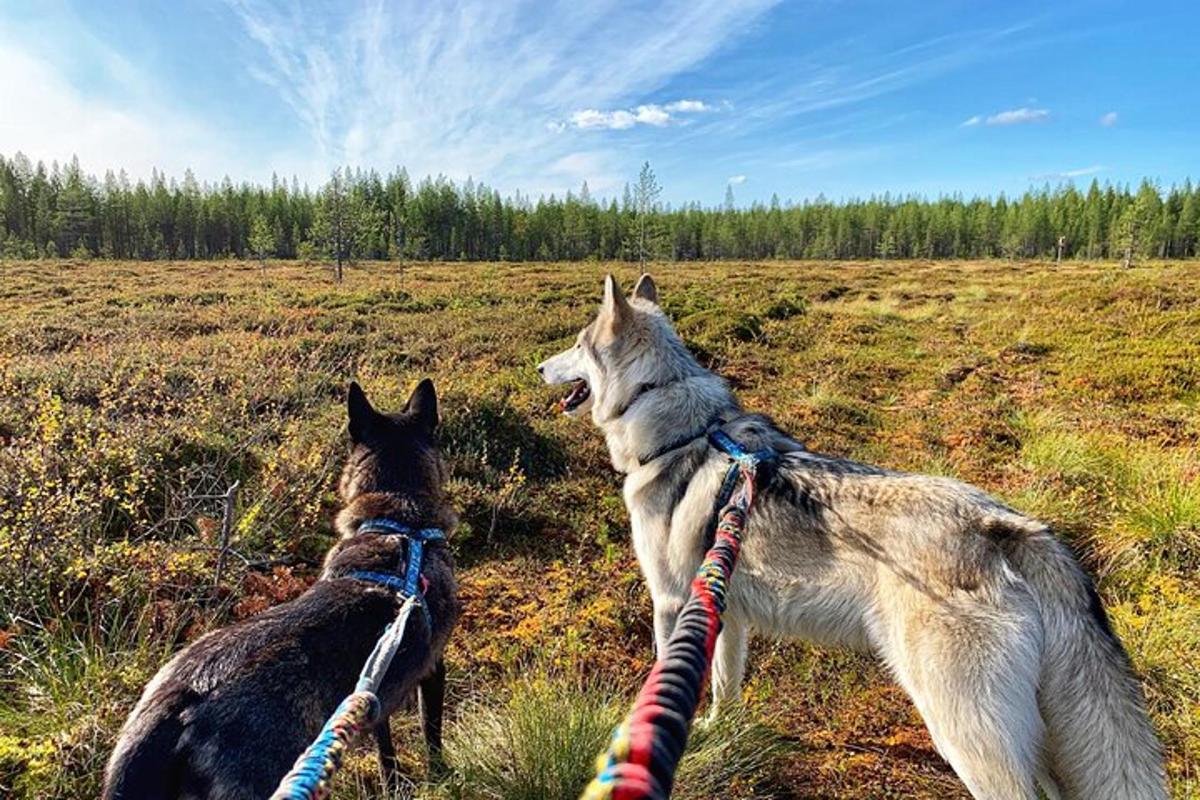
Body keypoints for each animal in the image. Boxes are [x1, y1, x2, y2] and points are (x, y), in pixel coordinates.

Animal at [104, 381, 458, 800]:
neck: (399, 523)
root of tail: (175, 703)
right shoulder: (432, 669)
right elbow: (432, 733)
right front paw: (441, 775)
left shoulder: (374, 694)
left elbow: (386, 751)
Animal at [540, 277, 1166, 800]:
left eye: (576, 344)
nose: (539, 367)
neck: (681, 430)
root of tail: (1010, 528)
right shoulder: (725, 612)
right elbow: (723, 687)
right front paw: (721, 733)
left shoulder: (673, 604)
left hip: (965, 732)